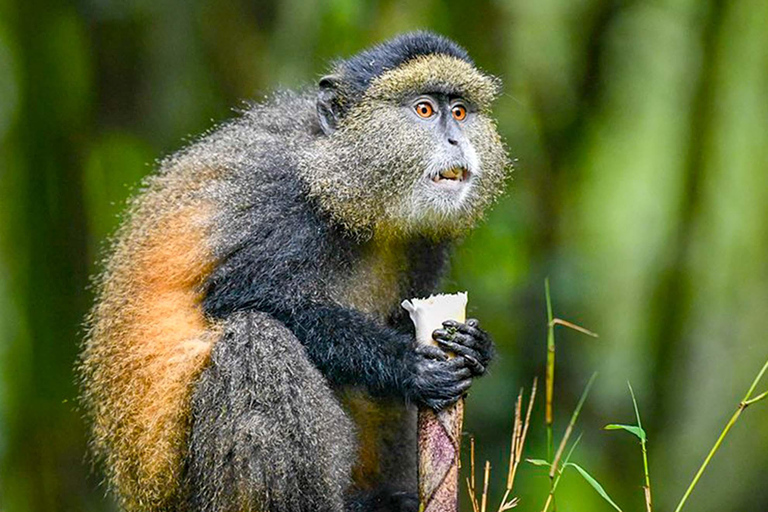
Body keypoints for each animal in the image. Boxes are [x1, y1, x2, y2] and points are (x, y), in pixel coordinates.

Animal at [79, 31, 509, 512]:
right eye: (424, 110)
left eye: (460, 111)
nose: (456, 140)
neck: (341, 180)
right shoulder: (283, 201)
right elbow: (238, 295)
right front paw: (408, 365)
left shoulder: (425, 244)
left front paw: (476, 345)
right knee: (255, 339)